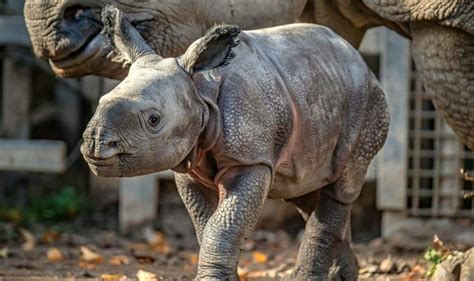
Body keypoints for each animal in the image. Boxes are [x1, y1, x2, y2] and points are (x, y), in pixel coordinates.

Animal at [82, 5, 388, 278]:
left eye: (154, 120)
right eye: (100, 101)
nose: (96, 144)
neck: (199, 90)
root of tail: (359, 60)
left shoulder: (250, 159)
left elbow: (223, 226)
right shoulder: (188, 163)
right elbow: (205, 225)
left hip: (368, 104)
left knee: (342, 185)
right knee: (307, 191)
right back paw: (343, 274)